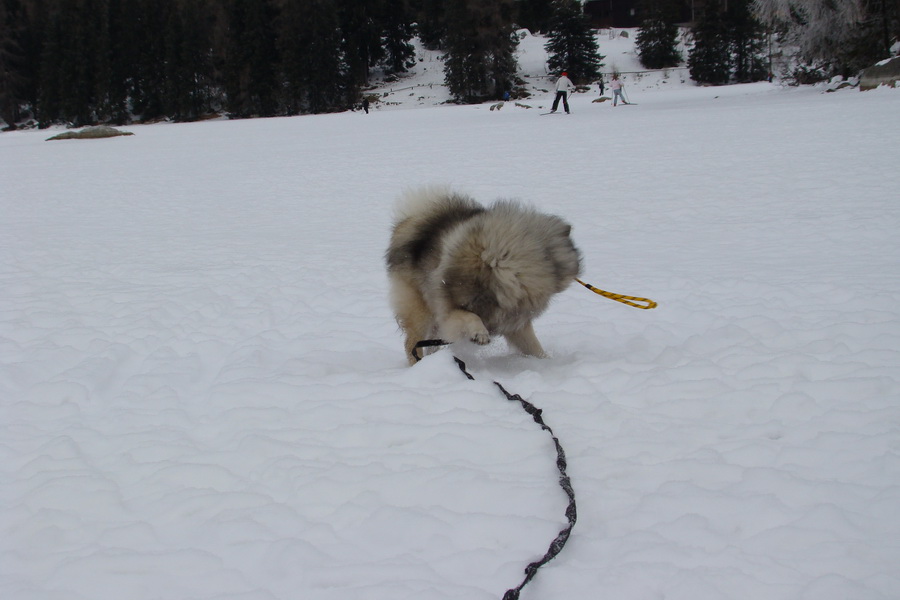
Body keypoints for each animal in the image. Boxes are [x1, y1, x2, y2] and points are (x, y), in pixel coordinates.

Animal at [384, 188, 580, 366]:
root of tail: (412, 220)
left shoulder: (514, 323)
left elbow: (533, 346)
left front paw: (547, 362)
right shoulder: (450, 312)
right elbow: (470, 316)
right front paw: (480, 333)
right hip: (420, 311)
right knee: (412, 343)